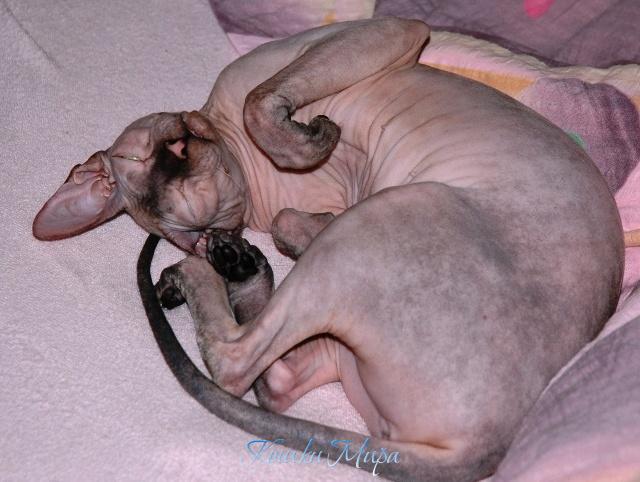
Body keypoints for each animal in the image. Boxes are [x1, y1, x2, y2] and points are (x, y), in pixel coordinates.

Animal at [33, 18, 624, 480]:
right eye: (188, 226)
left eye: (149, 155)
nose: (179, 167)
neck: (257, 176)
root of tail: (486, 447)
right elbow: (286, 216)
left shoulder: (389, 34)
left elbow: (259, 105)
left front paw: (306, 140)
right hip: (387, 217)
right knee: (248, 369)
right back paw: (210, 273)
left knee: (266, 373)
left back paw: (233, 267)